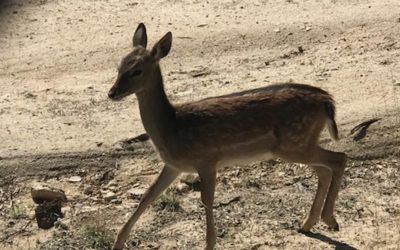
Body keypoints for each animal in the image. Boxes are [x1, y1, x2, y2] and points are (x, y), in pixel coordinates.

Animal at [108, 23, 346, 250]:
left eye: (137, 71)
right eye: (119, 66)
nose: (112, 93)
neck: (171, 127)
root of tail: (327, 101)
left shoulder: (206, 159)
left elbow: (206, 200)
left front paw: (209, 244)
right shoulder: (173, 165)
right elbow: (147, 196)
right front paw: (118, 242)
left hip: (295, 142)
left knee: (339, 158)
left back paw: (329, 219)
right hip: (299, 144)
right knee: (325, 170)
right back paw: (308, 223)